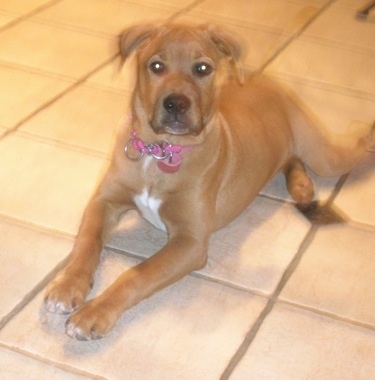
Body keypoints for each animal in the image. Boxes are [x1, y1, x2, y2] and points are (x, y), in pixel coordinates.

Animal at [44, 23, 375, 342]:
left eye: (202, 68)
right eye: (156, 65)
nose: (176, 103)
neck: (160, 151)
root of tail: (267, 79)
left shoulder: (190, 241)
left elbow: (137, 274)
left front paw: (93, 313)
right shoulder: (105, 201)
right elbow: (87, 242)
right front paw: (66, 286)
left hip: (324, 156)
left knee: (348, 148)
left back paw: (362, 135)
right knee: (289, 158)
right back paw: (302, 186)